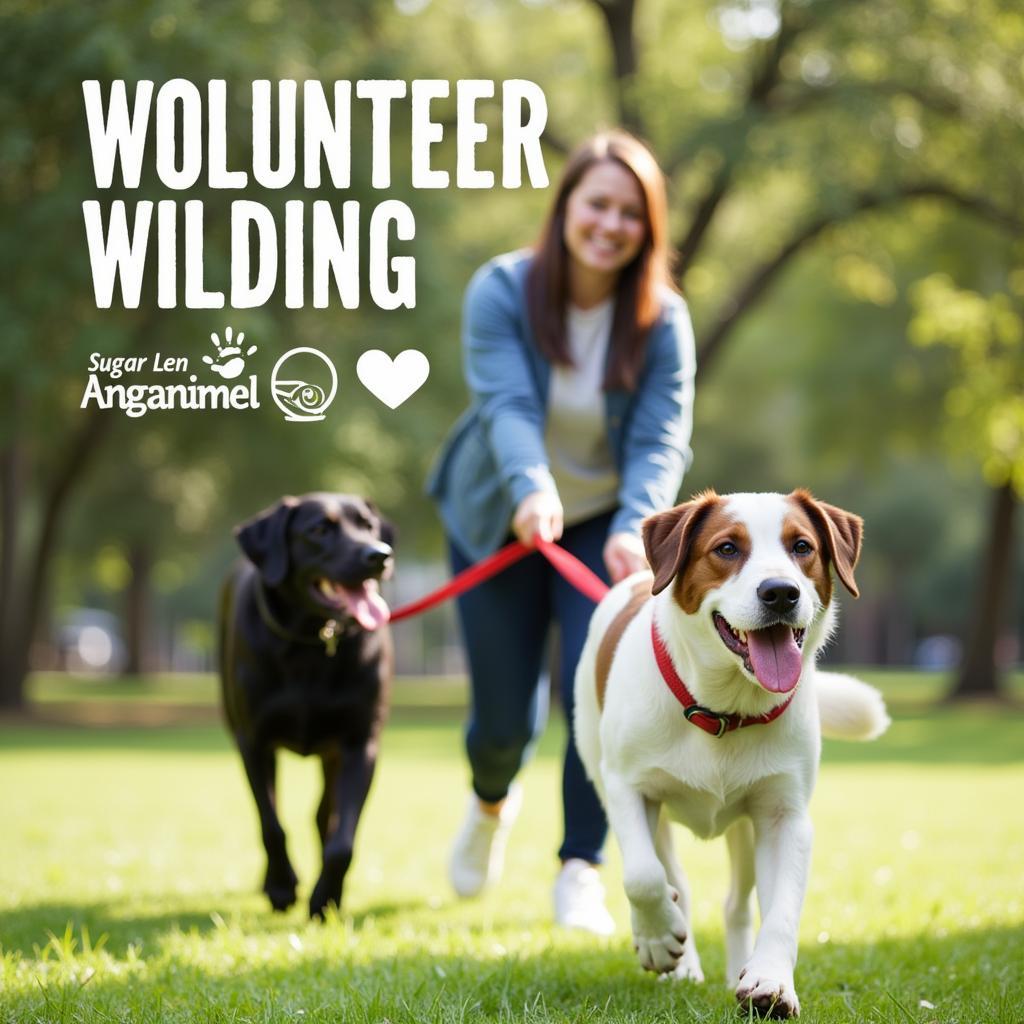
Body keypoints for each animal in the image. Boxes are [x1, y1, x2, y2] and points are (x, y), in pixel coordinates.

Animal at [218, 491, 393, 917]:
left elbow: (342, 841)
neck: (312, 642)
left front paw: (326, 897)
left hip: (332, 755)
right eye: (318, 529)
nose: (379, 555)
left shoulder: (360, 743)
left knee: (323, 816)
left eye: (368, 525)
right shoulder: (253, 740)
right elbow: (271, 825)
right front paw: (282, 887)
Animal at [577, 487, 888, 1015]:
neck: (723, 710)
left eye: (801, 546)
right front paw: (658, 941)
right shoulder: (626, 786)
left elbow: (781, 912)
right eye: (726, 548)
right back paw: (678, 960)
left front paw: (770, 981)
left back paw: (737, 966)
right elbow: (643, 875)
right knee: (671, 876)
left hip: (744, 828)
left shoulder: (785, 815)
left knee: (737, 903)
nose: (781, 592)